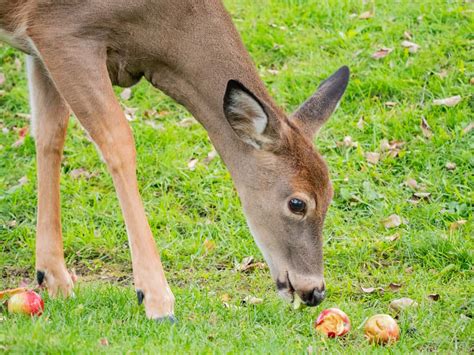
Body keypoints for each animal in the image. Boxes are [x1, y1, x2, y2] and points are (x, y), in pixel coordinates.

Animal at [0, 0, 348, 322]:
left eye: (330, 195)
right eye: (297, 203)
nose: (315, 291)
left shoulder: (38, 46)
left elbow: (50, 132)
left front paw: (53, 278)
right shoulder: (61, 31)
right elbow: (119, 141)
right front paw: (156, 299)